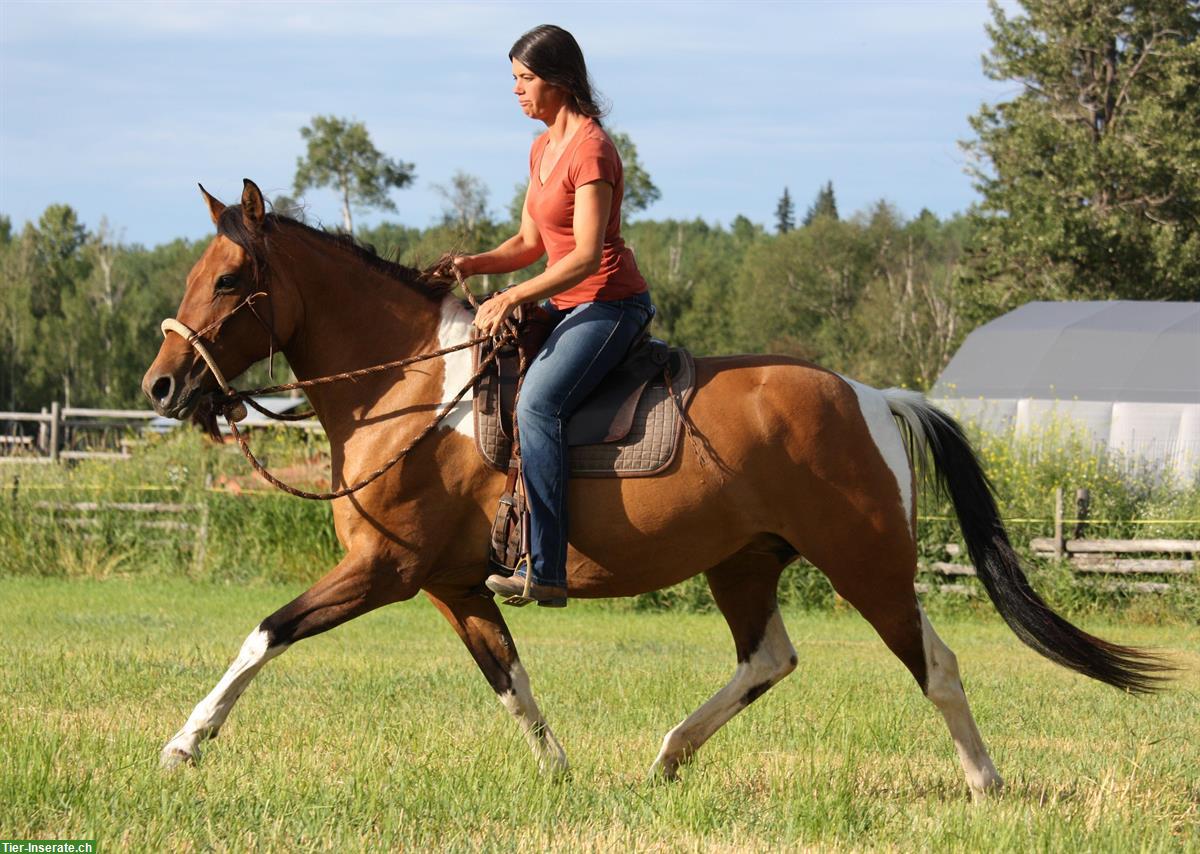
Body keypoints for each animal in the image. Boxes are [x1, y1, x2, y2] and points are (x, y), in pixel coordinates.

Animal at [140, 179, 1161, 801]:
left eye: (227, 280)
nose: (160, 385)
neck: (415, 389)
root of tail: (874, 397)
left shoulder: (385, 570)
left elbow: (265, 633)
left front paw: (184, 743)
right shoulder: (452, 583)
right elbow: (510, 679)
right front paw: (560, 776)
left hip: (867, 565)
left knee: (934, 665)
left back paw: (985, 784)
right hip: (744, 563)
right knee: (767, 659)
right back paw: (668, 756)